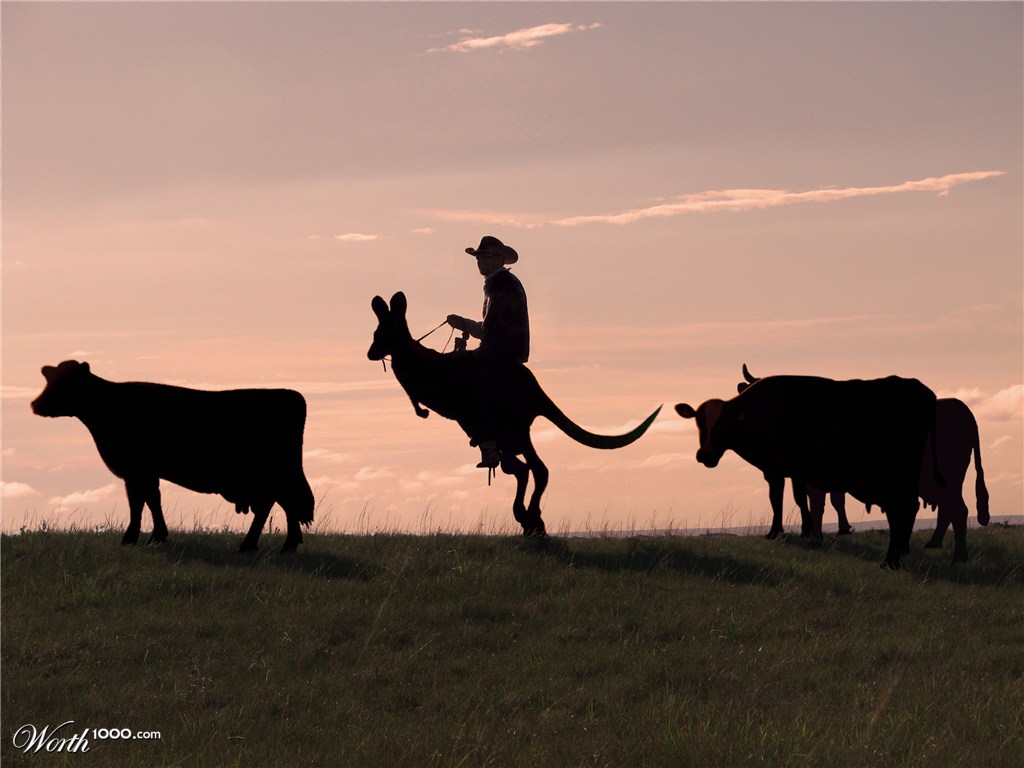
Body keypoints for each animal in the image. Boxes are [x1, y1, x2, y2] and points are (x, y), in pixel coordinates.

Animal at [31, 360, 314, 553]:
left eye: (65, 382)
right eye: (50, 379)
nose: (35, 404)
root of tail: (290, 394)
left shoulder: (135, 470)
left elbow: (139, 502)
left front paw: (132, 537)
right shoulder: (143, 472)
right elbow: (151, 500)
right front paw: (157, 535)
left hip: (273, 474)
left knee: (275, 503)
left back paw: (255, 544)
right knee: (285, 503)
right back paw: (286, 544)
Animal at [675, 373, 941, 569]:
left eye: (723, 423)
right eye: (699, 422)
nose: (704, 455)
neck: (759, 412)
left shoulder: (777, 469)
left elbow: (780, 498)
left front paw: (779, 533)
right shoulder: (795, 471)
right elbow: (798, 499)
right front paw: (808, 531)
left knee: (904, 507)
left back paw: (891, 560)